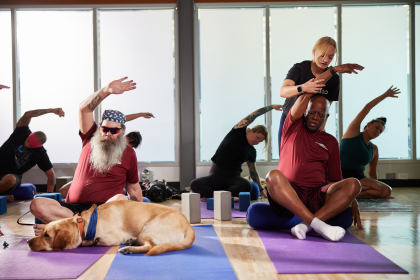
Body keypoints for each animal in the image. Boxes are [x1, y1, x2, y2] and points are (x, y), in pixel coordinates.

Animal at [27, 199, 194, 256]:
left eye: (47, 236)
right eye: (42, 233)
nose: (28, 241)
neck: (85, 223)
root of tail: (188, 225)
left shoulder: (112, 237)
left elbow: (97, 241)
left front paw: (91, 242)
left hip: (148, 227)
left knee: (150, 246)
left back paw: (129, 248)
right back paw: (131, 243)